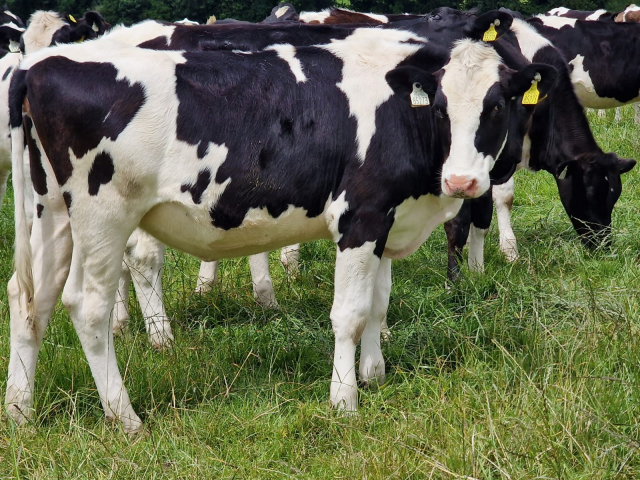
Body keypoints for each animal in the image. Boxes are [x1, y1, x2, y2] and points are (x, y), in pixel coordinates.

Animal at [3, 19, 556, 432]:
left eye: (497, 105)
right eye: (440, 107)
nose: (462, 180)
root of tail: (40, 65)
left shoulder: (385, 218)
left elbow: (378, 304)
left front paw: (374, 375)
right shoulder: (360, 216)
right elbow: (350, 314)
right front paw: (344, 401)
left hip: (52, 213)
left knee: (30, 301)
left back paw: (20, 411)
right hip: (102, 216)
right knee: (87, 308)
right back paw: (126, 417)